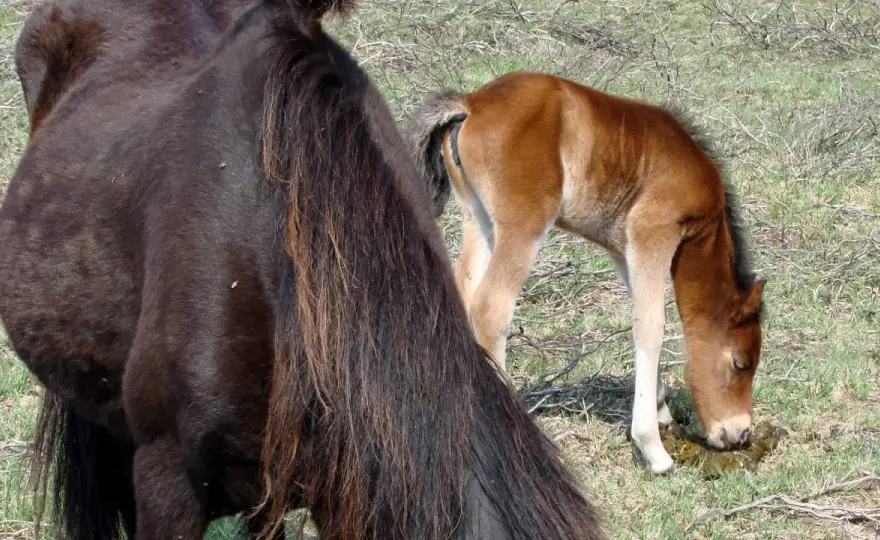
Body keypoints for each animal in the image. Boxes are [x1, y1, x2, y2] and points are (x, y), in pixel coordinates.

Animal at [406, 70, 767, 475]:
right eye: (740, 363)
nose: (739, 433)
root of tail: (472, 102)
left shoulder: (623, 248)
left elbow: (645, 315)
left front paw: (660, 409)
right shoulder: (652, 232)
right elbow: (651, 327)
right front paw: (653, 448)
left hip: (478, 218)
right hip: (524, 223)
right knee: (491, 310)